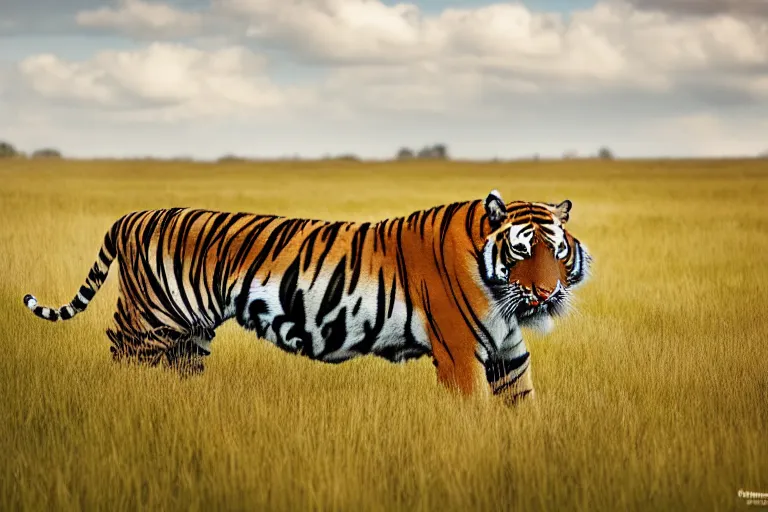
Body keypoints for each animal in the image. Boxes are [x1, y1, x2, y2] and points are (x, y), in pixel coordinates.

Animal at [21, 189, 592, 404]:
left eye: (556, 251)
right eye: (520, 251)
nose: (547, 292)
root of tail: (131, 215)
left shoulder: (508, 352)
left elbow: (523, 404)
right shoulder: (459, 353)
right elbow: (472, 409)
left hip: (191, 332)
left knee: (178, 368)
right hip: (151, 315)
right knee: (122, 352)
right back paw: (127, 405)